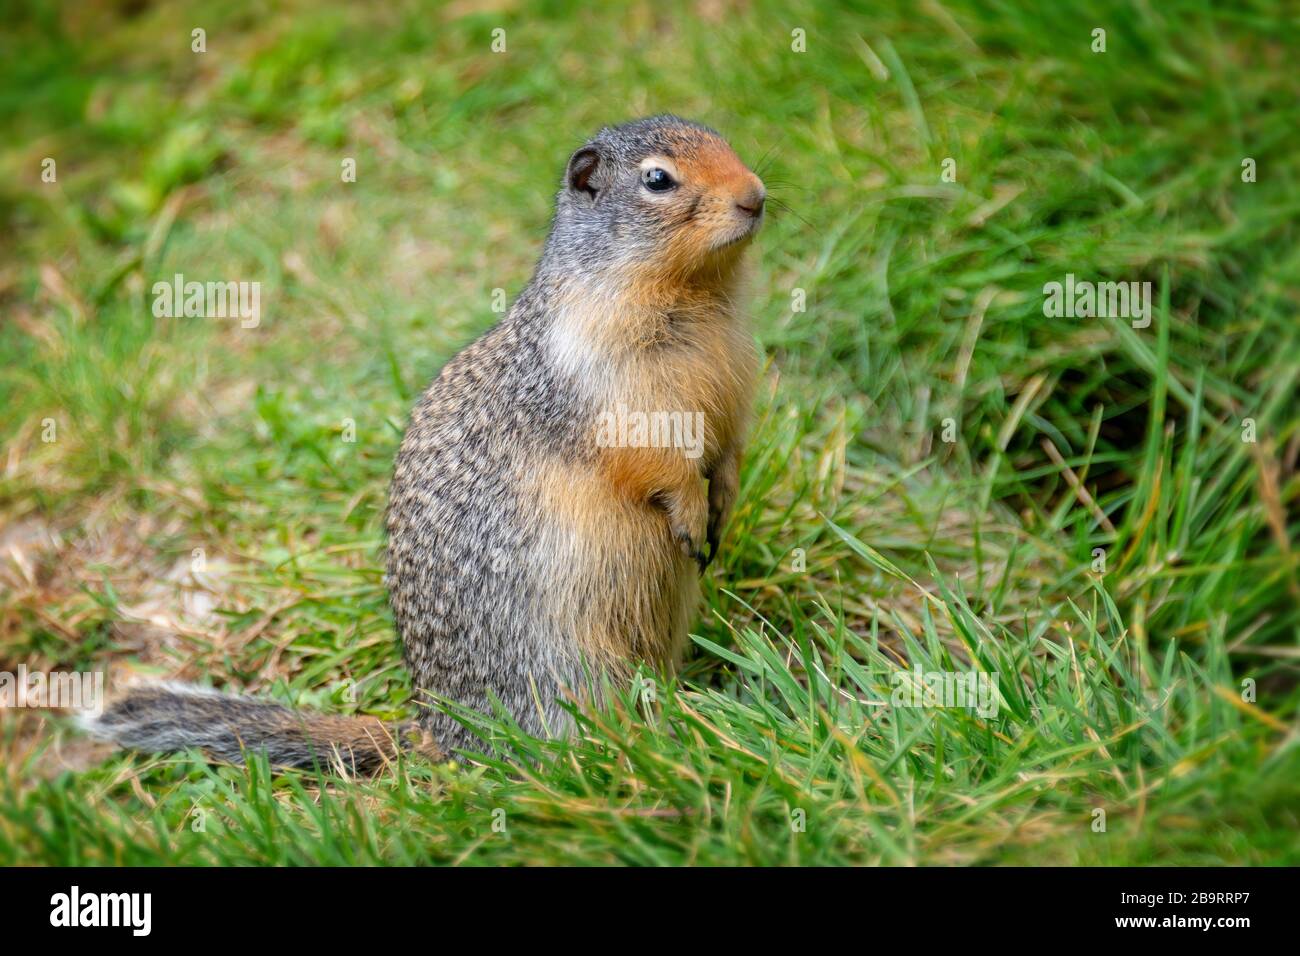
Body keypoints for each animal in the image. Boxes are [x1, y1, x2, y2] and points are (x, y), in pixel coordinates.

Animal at [89, 115, 759, 770]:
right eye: (657, 179)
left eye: (725, 139)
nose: (755, 196)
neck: (696, 298)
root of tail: (436, 730)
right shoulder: (604, 391)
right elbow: (650, 460)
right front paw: (690, 512)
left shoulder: (733, 382)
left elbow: (728, 444)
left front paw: (722, 497)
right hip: (565, 667)